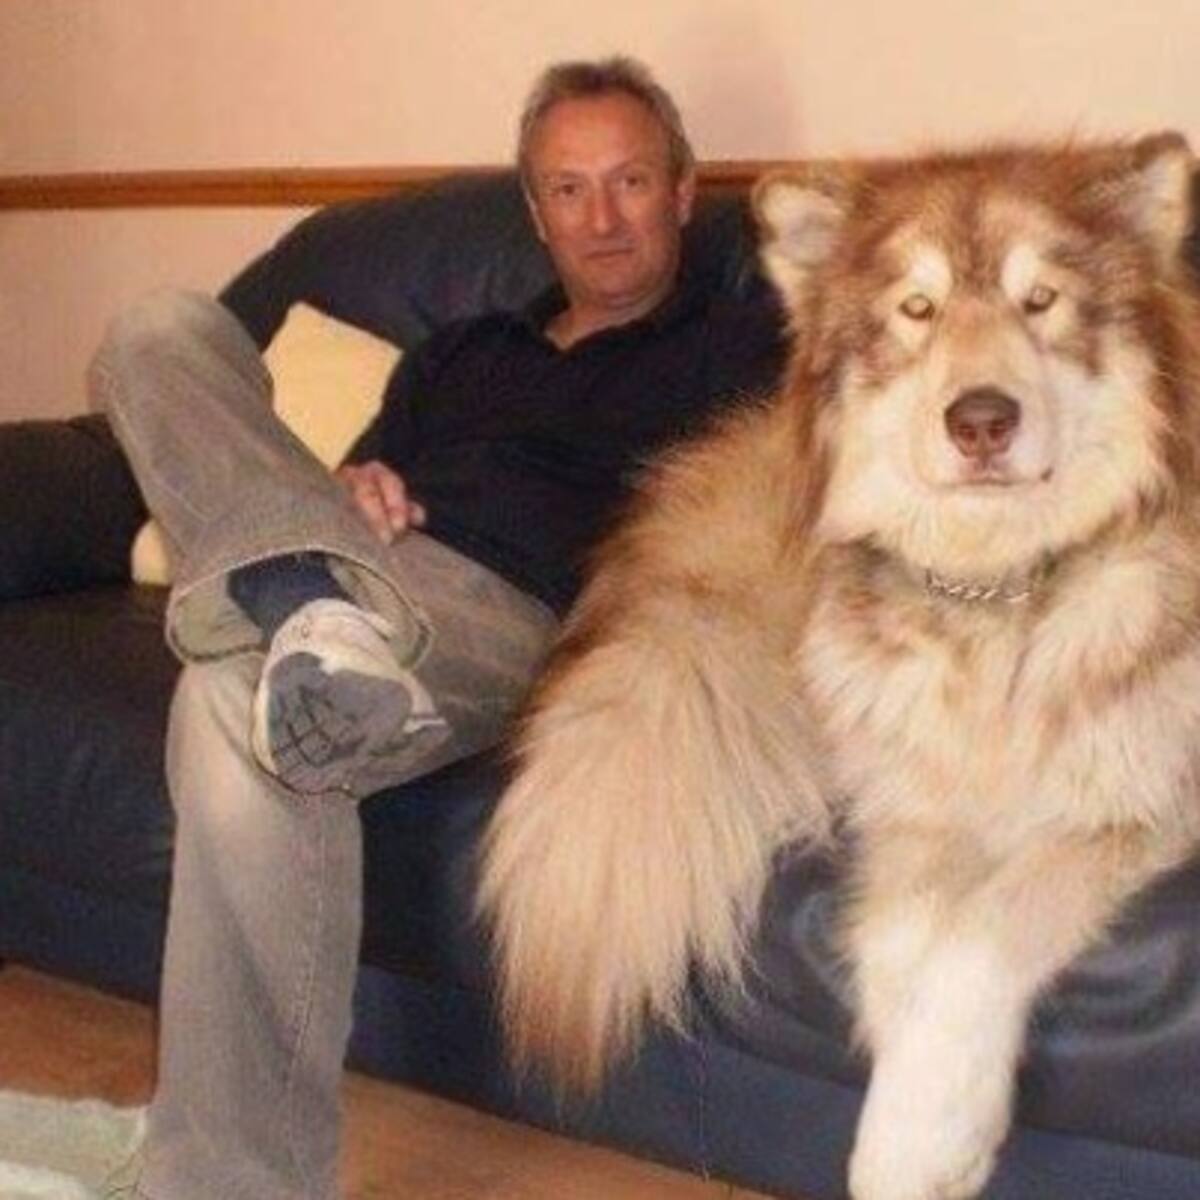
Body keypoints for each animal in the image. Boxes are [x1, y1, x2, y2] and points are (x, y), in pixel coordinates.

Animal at [478, 133, 1200, 1200]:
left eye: (1041, 301)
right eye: (917, 309)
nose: (980, 420)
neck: (1000, 591)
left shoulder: (1127, 806)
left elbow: (979, 938)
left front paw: (924, 1127)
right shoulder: (910, 811)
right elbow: (898, 947)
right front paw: (919, 1117)